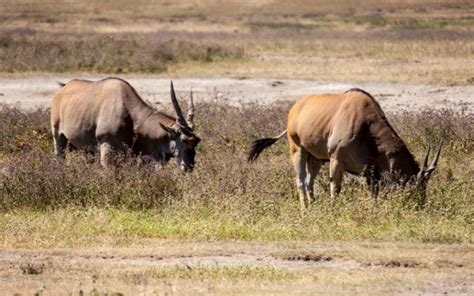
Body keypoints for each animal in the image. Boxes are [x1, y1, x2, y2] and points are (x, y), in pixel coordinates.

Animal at [51, 78, 199, 171]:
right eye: (184, 140)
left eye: (196, 141)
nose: (189, 167)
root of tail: (63, 89)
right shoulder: (107, 150)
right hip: (58, 137)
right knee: (59, 157)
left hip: (87, 149)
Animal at [248, 88, 440, 210]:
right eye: (415, 185)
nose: (420, 206)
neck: (366, 125)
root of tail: (295, 108)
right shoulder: (336, 160)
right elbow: (336, 188)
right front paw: (334, 211)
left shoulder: (370, 172)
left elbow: (373, 193)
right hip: (298, 151)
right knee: (300, 181)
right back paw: (305, 210)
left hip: (316, 159)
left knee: (309, 182)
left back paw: (314, 207)